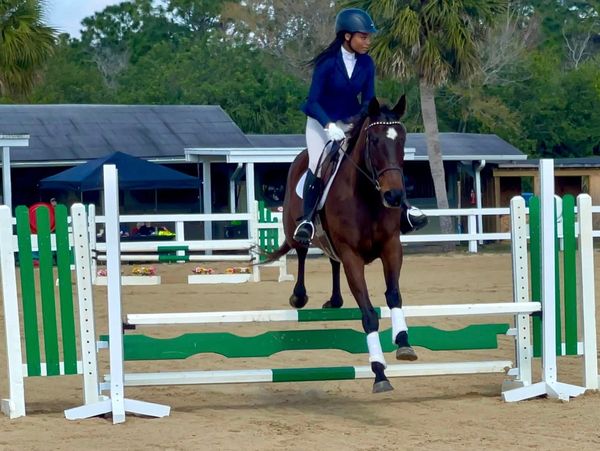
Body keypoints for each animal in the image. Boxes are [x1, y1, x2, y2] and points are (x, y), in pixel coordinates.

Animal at [264, 97, 414, 394]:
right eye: (374, 140)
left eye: (402, 139)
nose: (394, 196)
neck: (366, 195)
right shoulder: (352, 255)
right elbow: (368, 314)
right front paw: (379, 372)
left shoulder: (391, 247)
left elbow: (393, 295)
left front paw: (403, 342)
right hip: (295, 229)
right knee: (300, 252)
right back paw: (299, 296)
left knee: (333, 261)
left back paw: (335, 300)